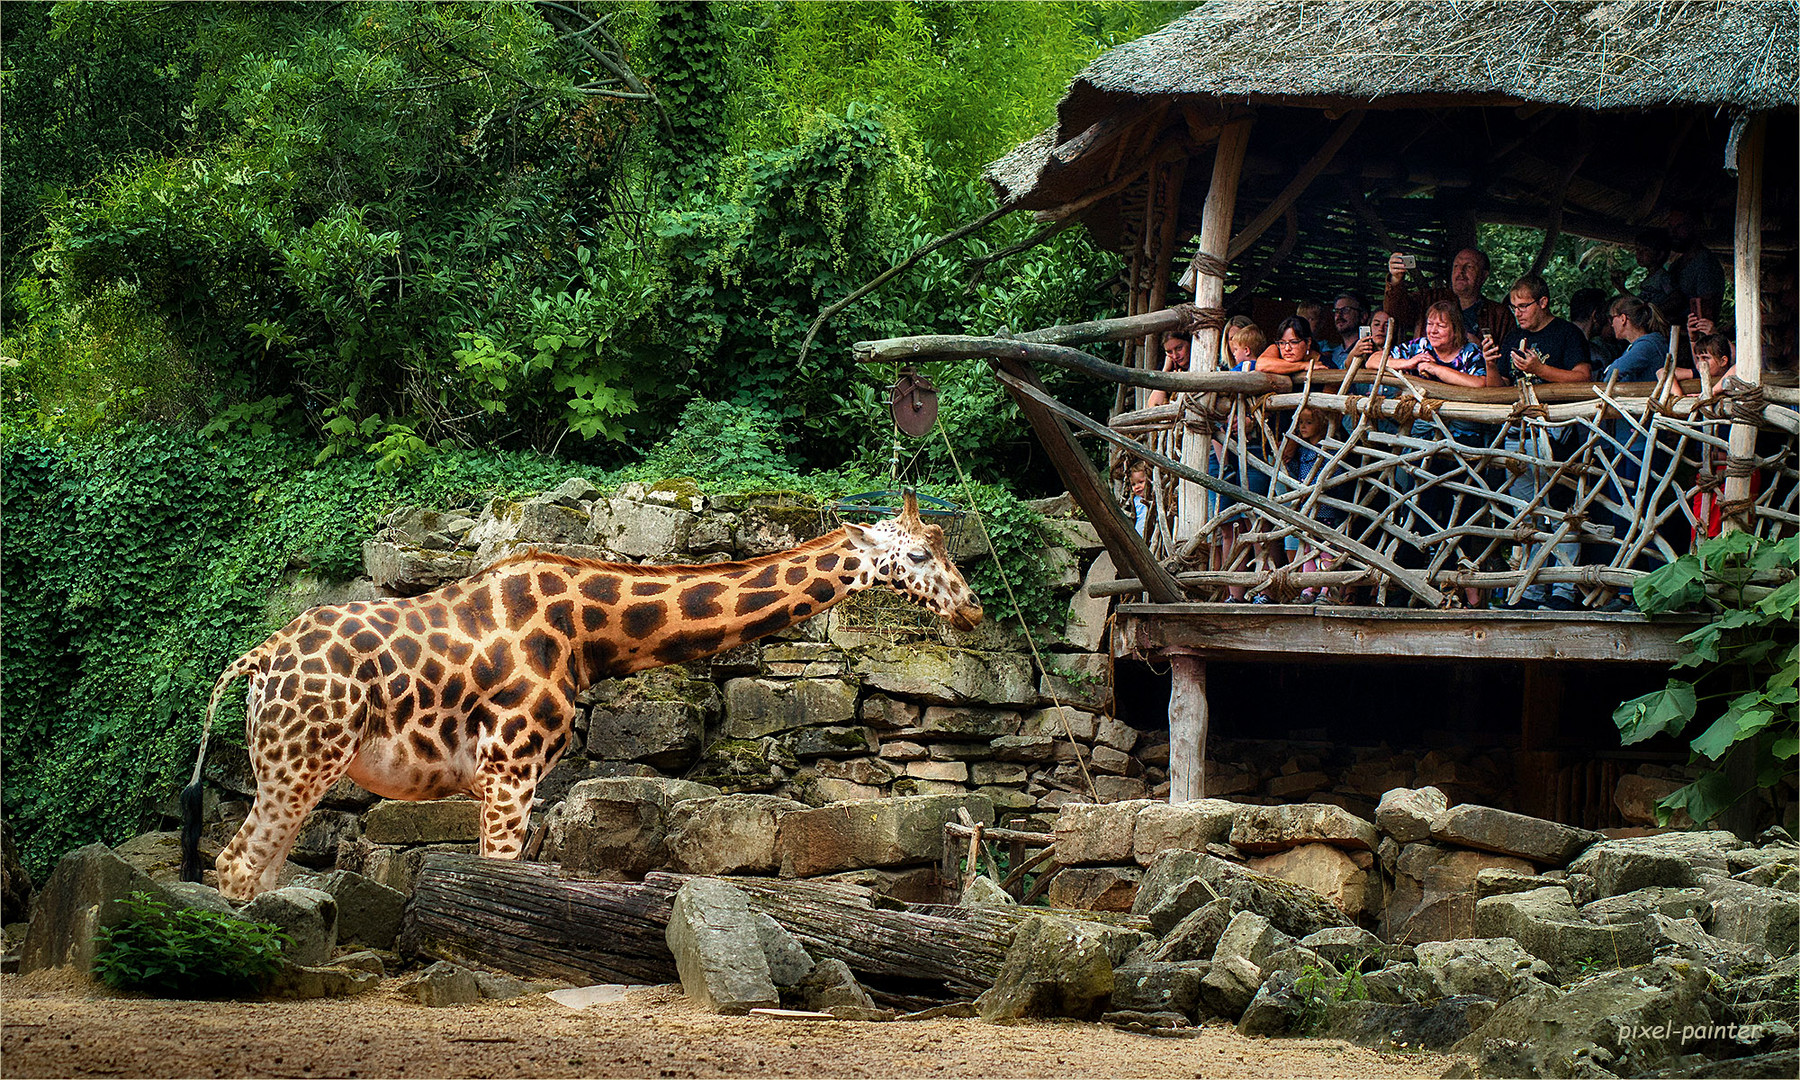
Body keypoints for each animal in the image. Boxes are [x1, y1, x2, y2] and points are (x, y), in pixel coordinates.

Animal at [182, 493, 986, 900]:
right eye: (920, 554)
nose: (974, 609)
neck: (584, 634)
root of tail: (257, 659)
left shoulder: (513, 775)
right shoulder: (508, 768)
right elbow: (494, 881)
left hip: (302, 766)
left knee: (259, 870)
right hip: (297, 763)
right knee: (237, 866)